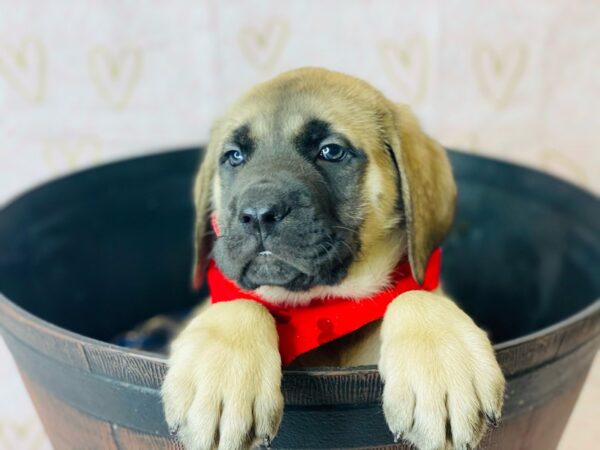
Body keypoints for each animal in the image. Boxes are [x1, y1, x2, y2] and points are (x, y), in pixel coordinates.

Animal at [162, 67, 504, 450]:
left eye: (331, 151)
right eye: (234, 156)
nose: (258, 214)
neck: (321, 307)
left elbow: (413, 294)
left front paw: (443, 365)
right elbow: (240, 302)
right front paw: (221, 380)